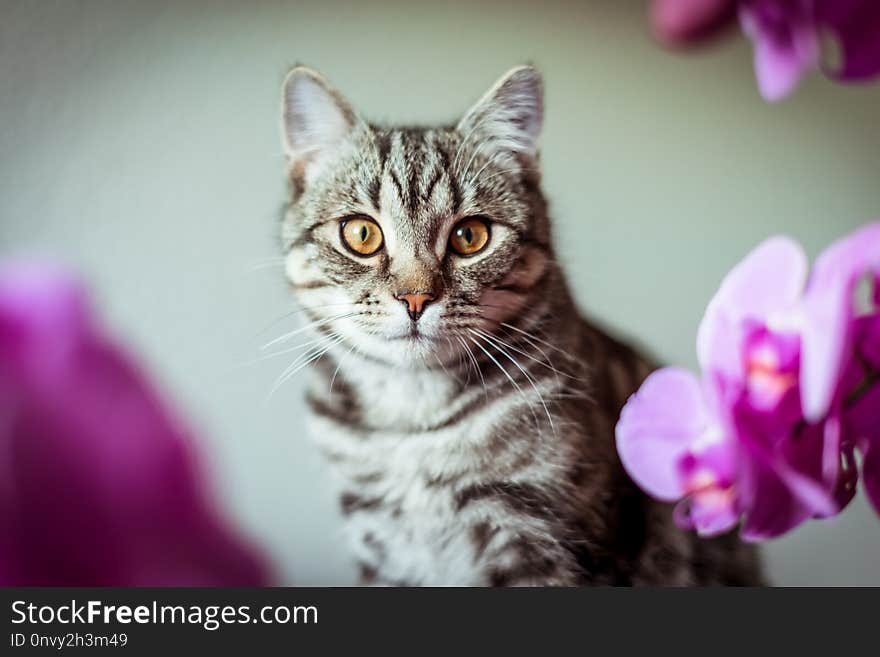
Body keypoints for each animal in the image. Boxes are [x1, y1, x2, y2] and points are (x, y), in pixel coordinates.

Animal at [278, 62, 760, 584]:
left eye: (470, 236)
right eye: (361, 233)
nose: (415, 297)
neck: (412, 423)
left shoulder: (534, 534)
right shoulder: (380, 543)